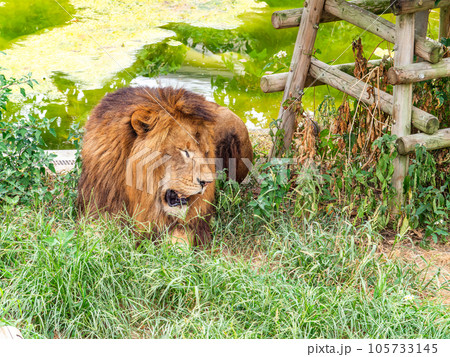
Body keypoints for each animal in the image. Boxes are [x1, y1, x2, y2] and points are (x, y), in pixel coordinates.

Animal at [78, 87, 253, 248]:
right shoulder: (98, 204)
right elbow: (92, 236)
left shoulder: (193, 222)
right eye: (184, 151)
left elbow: (179, 243)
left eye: (206, 152)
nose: (207, 183)